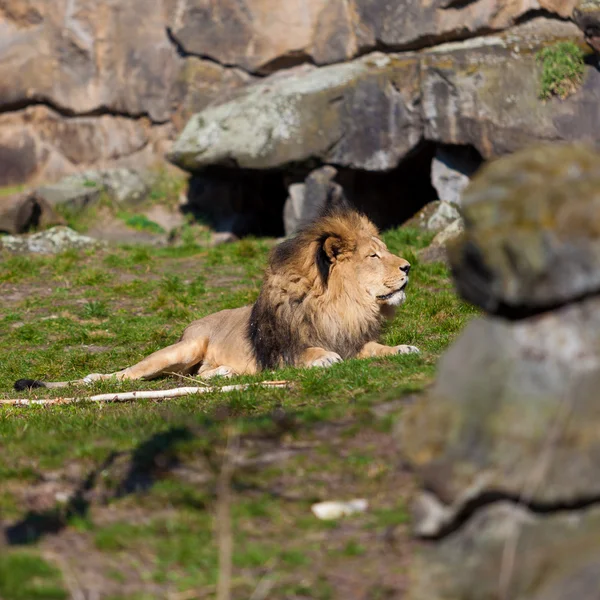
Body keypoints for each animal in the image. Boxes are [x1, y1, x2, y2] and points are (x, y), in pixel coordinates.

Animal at [14, 209, 418, 392]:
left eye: (383, 251)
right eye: (373, 256)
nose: (409, 266)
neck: (341, 305)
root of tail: (194, 323)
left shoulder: (354, 339)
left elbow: (376, 348)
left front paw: (403, 349)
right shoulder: (280, 353)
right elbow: (308, 353)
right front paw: (322, 358)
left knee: (202, 375)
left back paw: (225, 372)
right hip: (182, 350)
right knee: (122, 373)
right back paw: (95, 379)